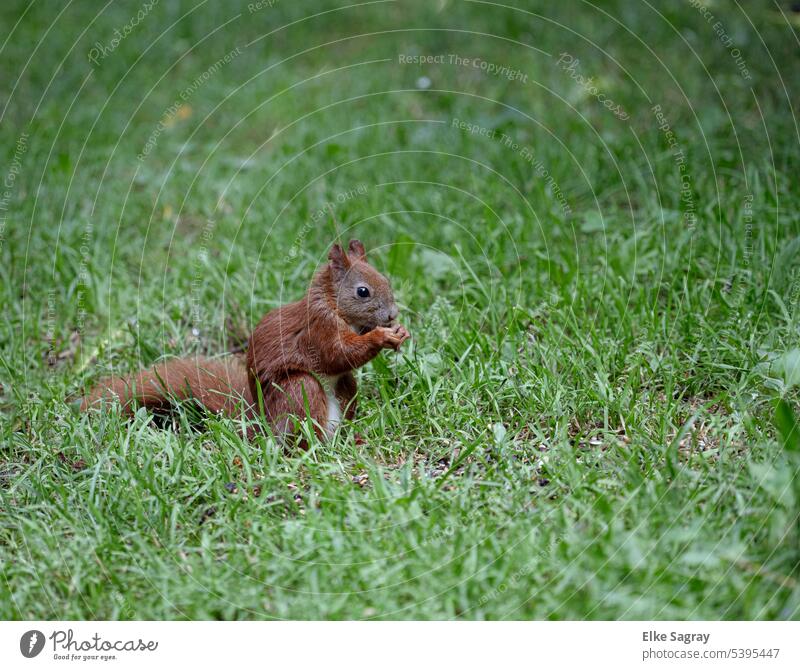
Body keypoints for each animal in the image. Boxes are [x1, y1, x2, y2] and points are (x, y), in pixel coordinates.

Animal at [79, 240, 412, 440]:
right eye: (362, 291)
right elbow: (337, 354)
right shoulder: (317, 329)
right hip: (298, 390)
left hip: (345, 388)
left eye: (386, 280)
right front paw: (381, 336)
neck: (332, 305)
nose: (392, 315)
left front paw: (399, 333)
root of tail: (263, 427)